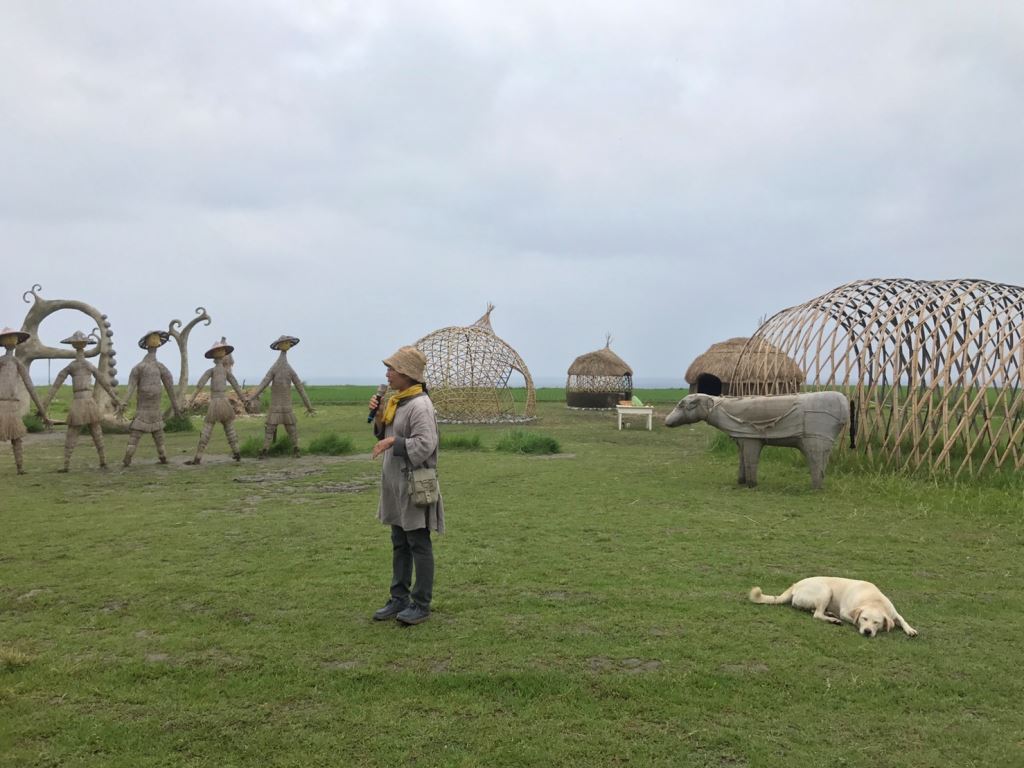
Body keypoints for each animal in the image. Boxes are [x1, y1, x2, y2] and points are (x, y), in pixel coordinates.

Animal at [745, 577, 921, 638]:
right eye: (864, 619)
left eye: (876, 622)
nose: (867, 631)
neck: (873, 600)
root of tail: (796, 584)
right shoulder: (846, 612)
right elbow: (851, 618)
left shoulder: (893, 613)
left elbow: (902, 619)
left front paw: (910, 630)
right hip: (826, 590)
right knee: (817, 614)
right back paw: (832, 619)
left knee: (813, 610)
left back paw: (829, 613)